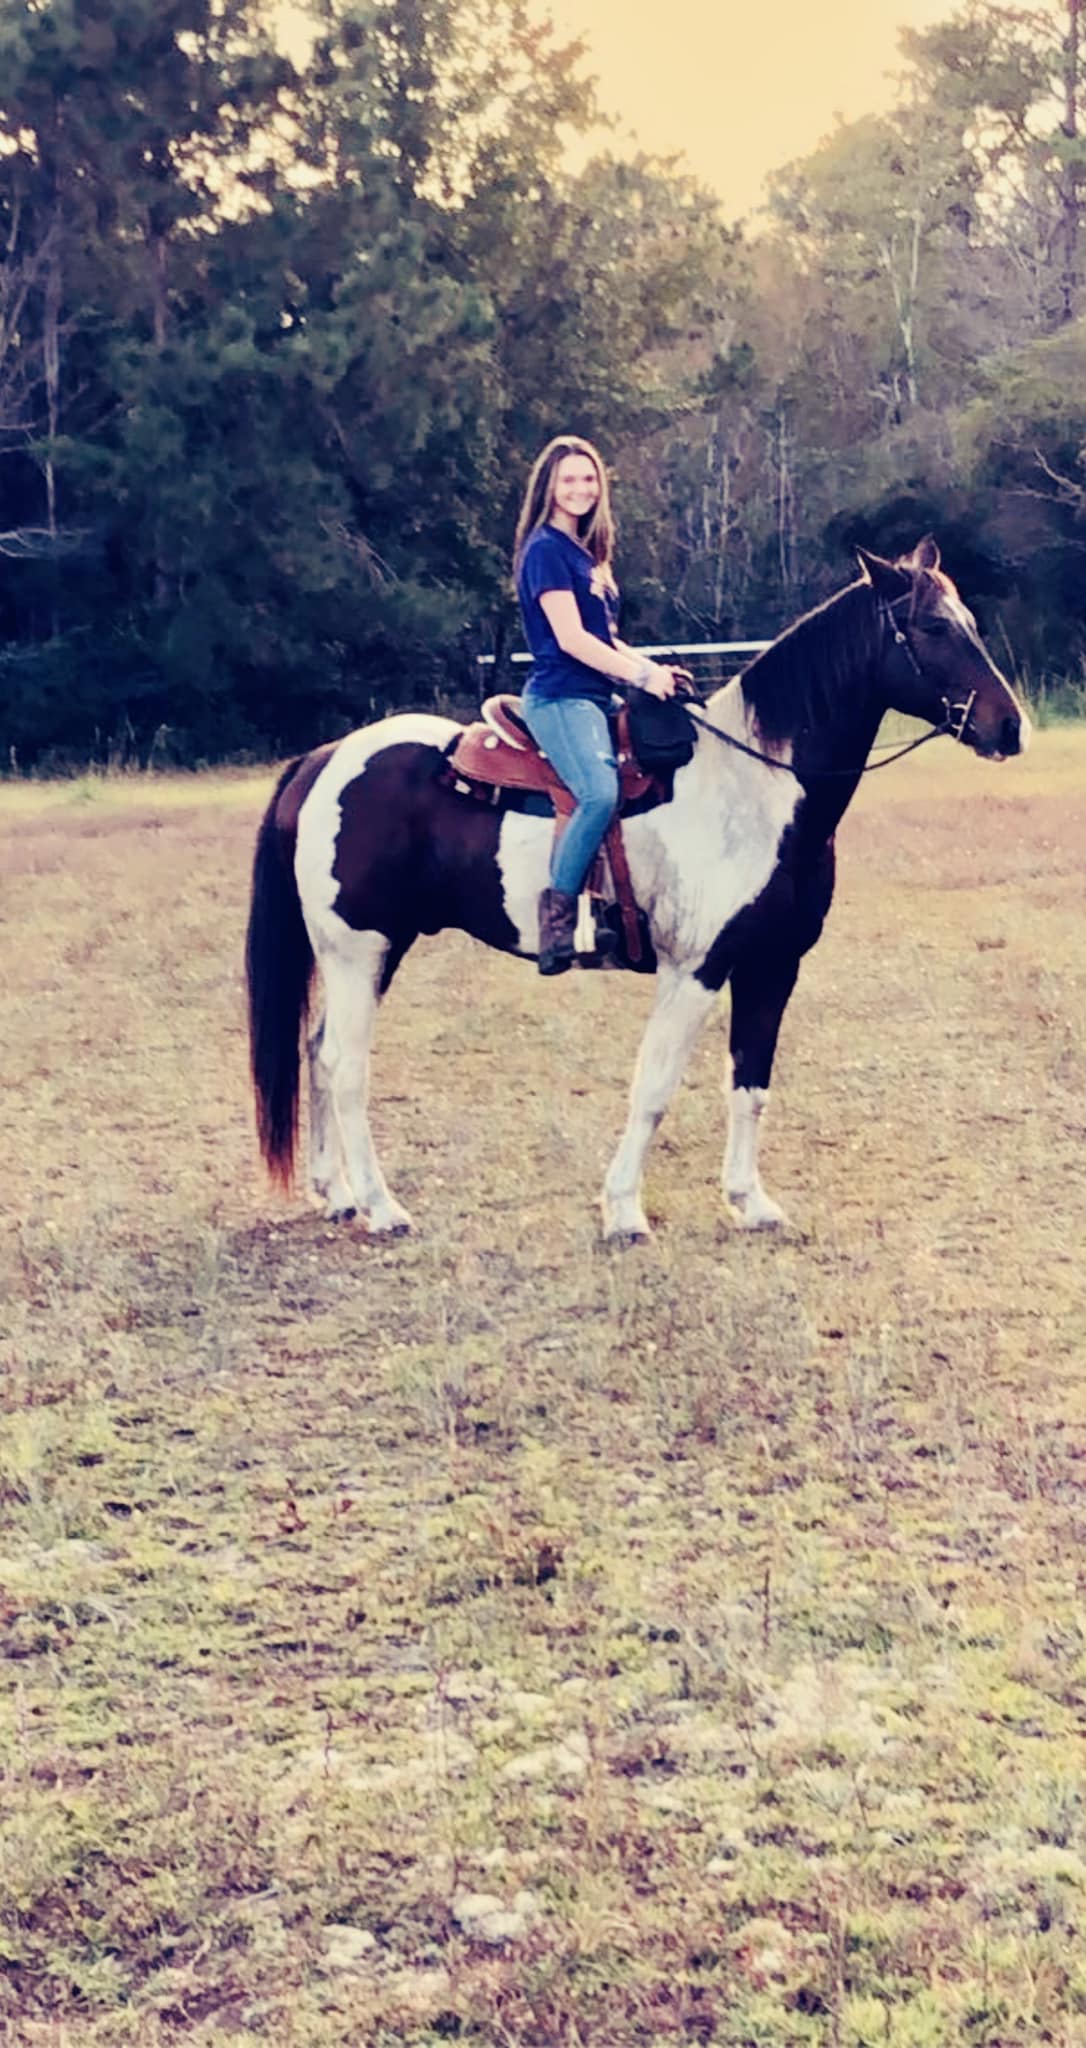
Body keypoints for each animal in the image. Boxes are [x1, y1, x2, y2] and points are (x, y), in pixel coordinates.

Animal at [245, 538, 1029, 1243]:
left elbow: (751, 1082)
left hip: (368, 952)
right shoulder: (696, 968)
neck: (753, 784)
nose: (1010, 726)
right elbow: (654, 1086)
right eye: (933, 627)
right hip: (359, 949)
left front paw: (751, 1204)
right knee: (344, 1066)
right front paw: (623, 1211)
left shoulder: (772, 964)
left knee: (317, 1051)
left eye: (969, 622)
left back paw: (338, 1195)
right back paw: (382, 1208)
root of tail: (323, 760)